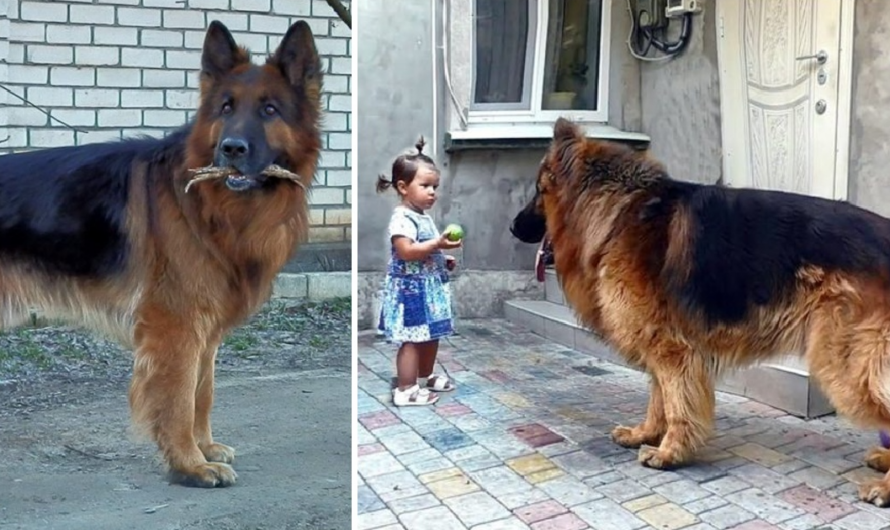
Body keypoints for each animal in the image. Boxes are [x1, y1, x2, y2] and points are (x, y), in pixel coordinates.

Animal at [512, 117, 890, 506]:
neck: (617, 211)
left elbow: (677, 403)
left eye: (539, 191)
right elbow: (658, 399)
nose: (512, 226)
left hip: (844, 366)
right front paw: (645, 433)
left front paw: (670, 452)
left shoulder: (673, 352)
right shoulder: (660, 347)